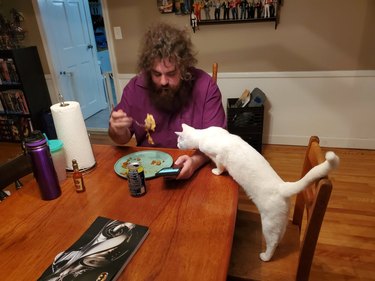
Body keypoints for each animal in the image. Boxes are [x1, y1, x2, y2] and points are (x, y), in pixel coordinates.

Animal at [176, 123, 340, 260]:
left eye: (179, 140)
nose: (176, 145)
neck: (205, 134)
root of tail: (282, 186)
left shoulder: (220, 156)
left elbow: (220, 166)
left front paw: (216, 172)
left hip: (268, 223)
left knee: (272, 241)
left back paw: (266, 256)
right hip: (280, 222)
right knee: (279, 237)